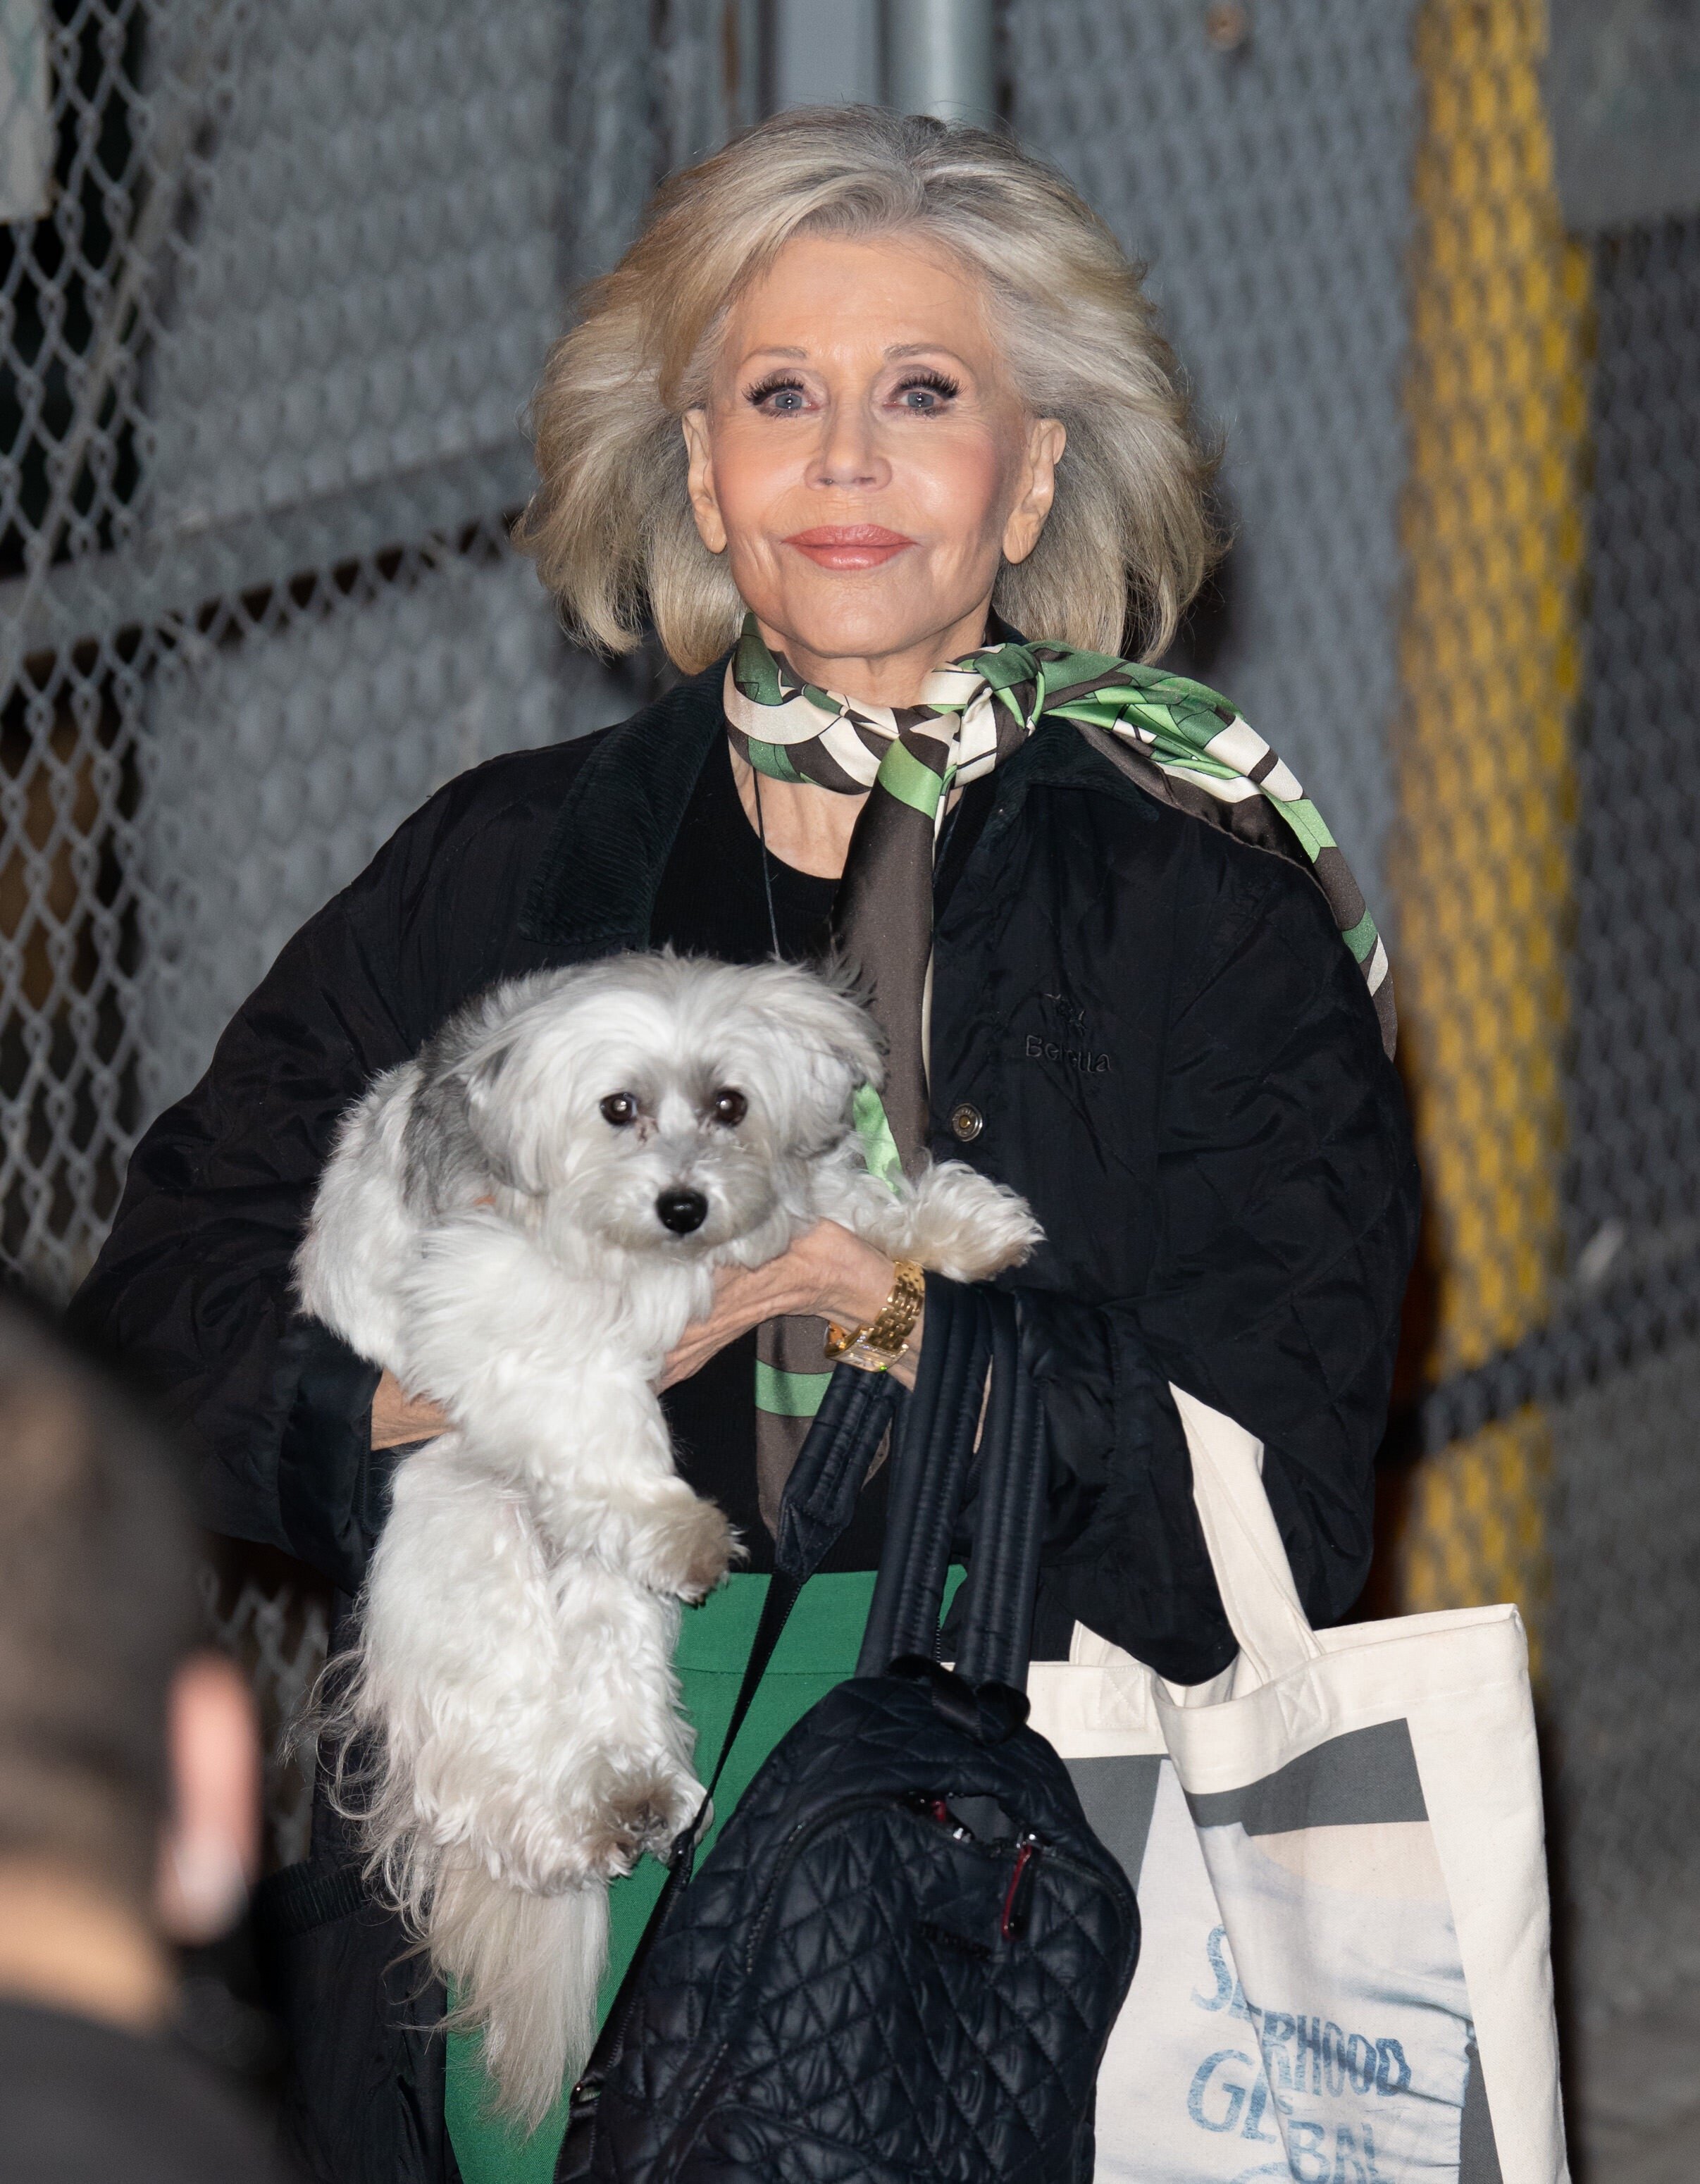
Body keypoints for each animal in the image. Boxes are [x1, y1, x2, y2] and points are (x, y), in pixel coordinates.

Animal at [294, 952, 1031, 2114]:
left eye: (730, 1105)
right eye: (618, 1110)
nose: (685, 1205)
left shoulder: (787, 1208)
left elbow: (852, 1207)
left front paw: (954, 1230)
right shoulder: (503, 1307)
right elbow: (599, 1406)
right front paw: (674, 1516)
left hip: (601, 1597)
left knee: (612, 1674)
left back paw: (637, 1791)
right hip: (472, 1552)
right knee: (496, 1758)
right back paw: (566, 1818)